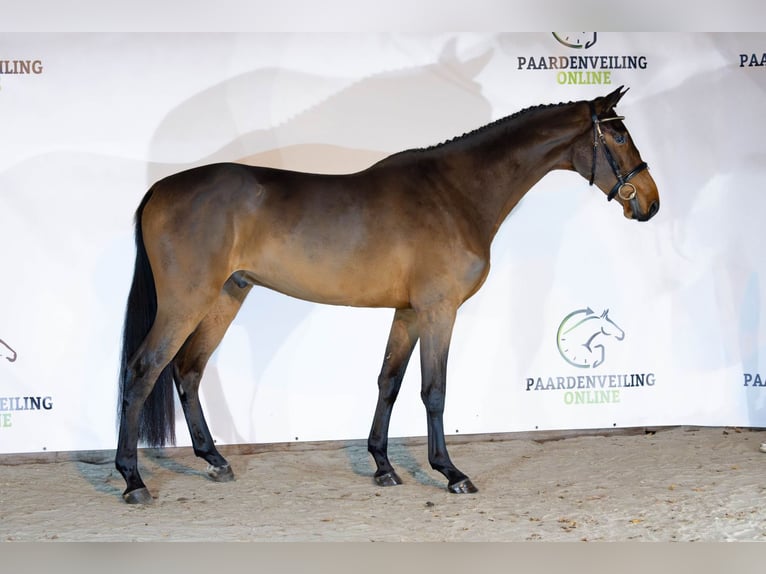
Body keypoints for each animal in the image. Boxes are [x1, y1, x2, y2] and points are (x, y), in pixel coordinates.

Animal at [116, 85, 659, 504]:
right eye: (617, 134)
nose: (650, 203)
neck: (454, 194)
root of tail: (161, 188)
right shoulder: (439, 311)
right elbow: (434, 390)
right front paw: (451, 473)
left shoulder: (408, 312)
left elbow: (389, 382)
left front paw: (382, 465)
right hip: (186, 302)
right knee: (143, 371)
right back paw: (133, 480)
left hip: (227, 296)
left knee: (188, 370)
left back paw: (214, 460)